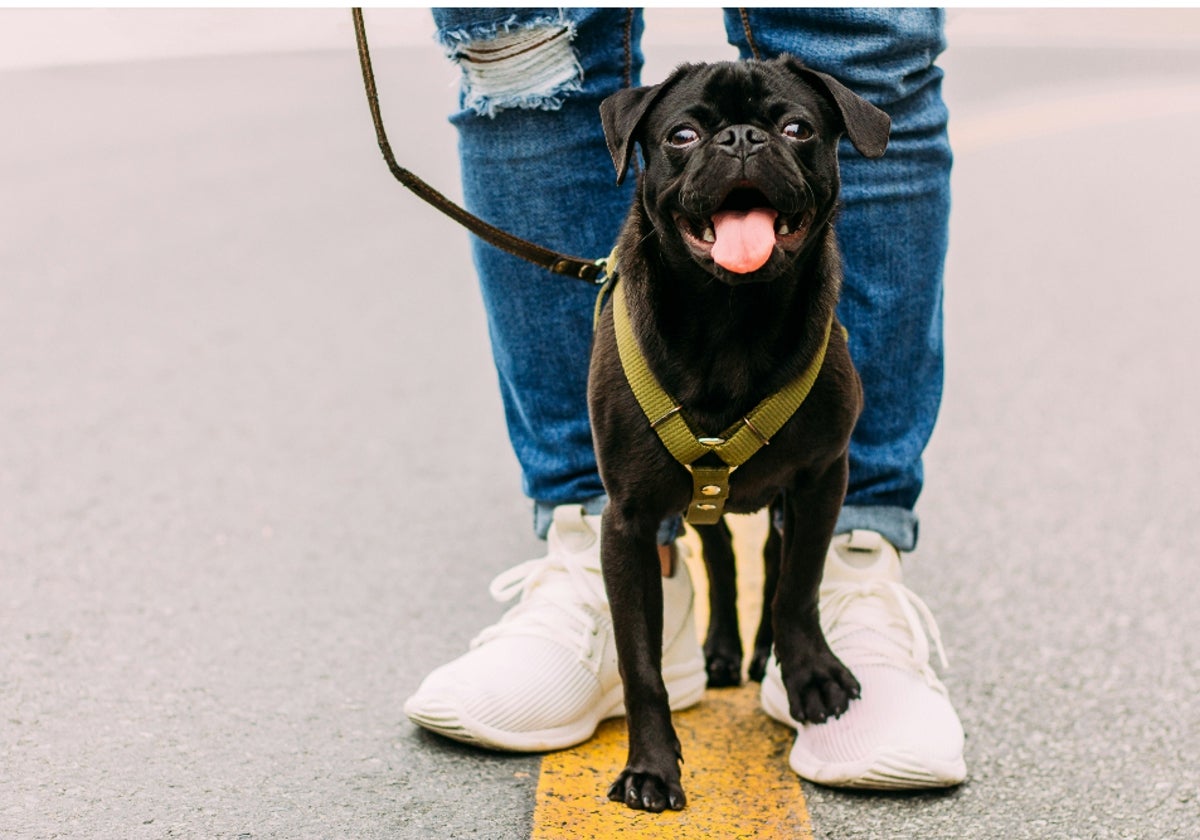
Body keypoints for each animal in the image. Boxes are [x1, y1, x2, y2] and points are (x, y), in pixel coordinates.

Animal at [585, 54, 888, 816]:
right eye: (683, 135)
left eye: (797, 128)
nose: (743, 139)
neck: (731, 318)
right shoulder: (627, 522)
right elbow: (640, 662)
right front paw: (650, 767)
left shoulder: (823, 477)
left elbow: (799, 584)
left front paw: (808, 673)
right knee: (721, 556)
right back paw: (722, 649)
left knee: (773, 558)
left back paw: (760, 654)